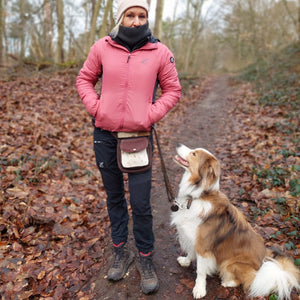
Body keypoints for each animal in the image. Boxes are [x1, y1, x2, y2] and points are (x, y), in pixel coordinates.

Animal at [171, 144, 300, 298]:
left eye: (194, 154)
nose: (178, 145)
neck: (199, 196)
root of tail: (263, 266)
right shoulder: (193, 238)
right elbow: (191, 252)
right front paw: (186, 261)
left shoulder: (203, 246)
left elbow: (201, 271)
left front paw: (199, 289)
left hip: (230, 262)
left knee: (248, 281)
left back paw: (228, 282)